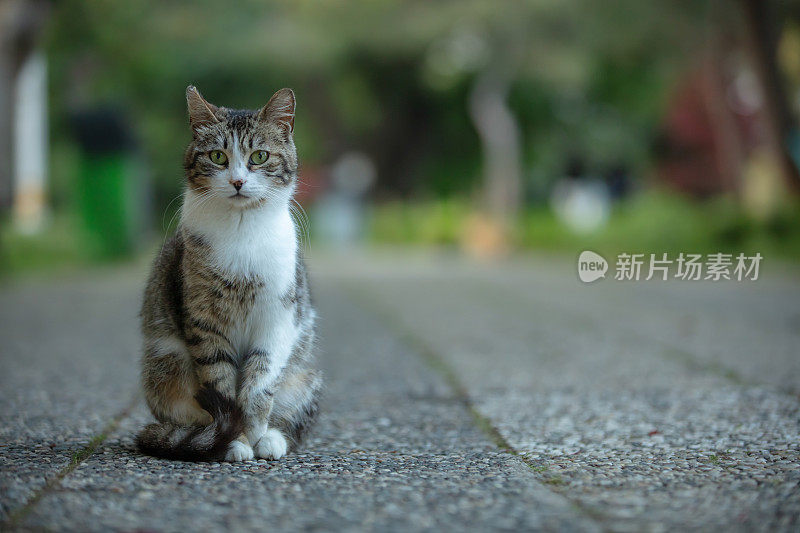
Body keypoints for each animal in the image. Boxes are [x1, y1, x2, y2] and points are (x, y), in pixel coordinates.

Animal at [136, 87, 320, 462]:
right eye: (218, 157)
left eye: (260, 156)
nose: (237, 181)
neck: (241, 230)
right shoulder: (203, 321)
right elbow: (220, 384)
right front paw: (234, 442)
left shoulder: (278, 317)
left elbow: (259, 384)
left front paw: (254, 434)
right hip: (164, 369)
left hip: (305, 377)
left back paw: (273, 438)